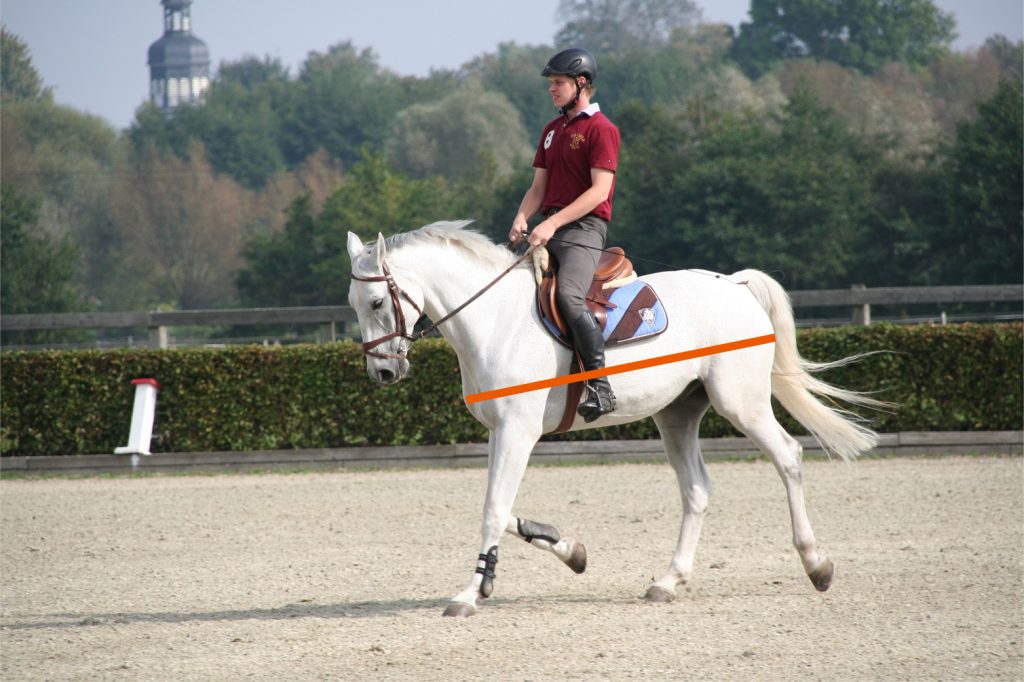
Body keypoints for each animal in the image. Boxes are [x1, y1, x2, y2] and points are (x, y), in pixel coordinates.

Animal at [346, 220, 880, 614]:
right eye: (354, 305)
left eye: (377, 302)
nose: (383, 372)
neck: (495, 321)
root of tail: (734, 284)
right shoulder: (502, 433)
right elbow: (499, 506)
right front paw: (569, 550)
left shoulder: (518, 432)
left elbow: (494, 510)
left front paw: (471, 593)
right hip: (677, 414)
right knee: (697, 489)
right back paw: (668, 581)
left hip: (740, 403)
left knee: (788, 456)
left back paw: (817, 564)